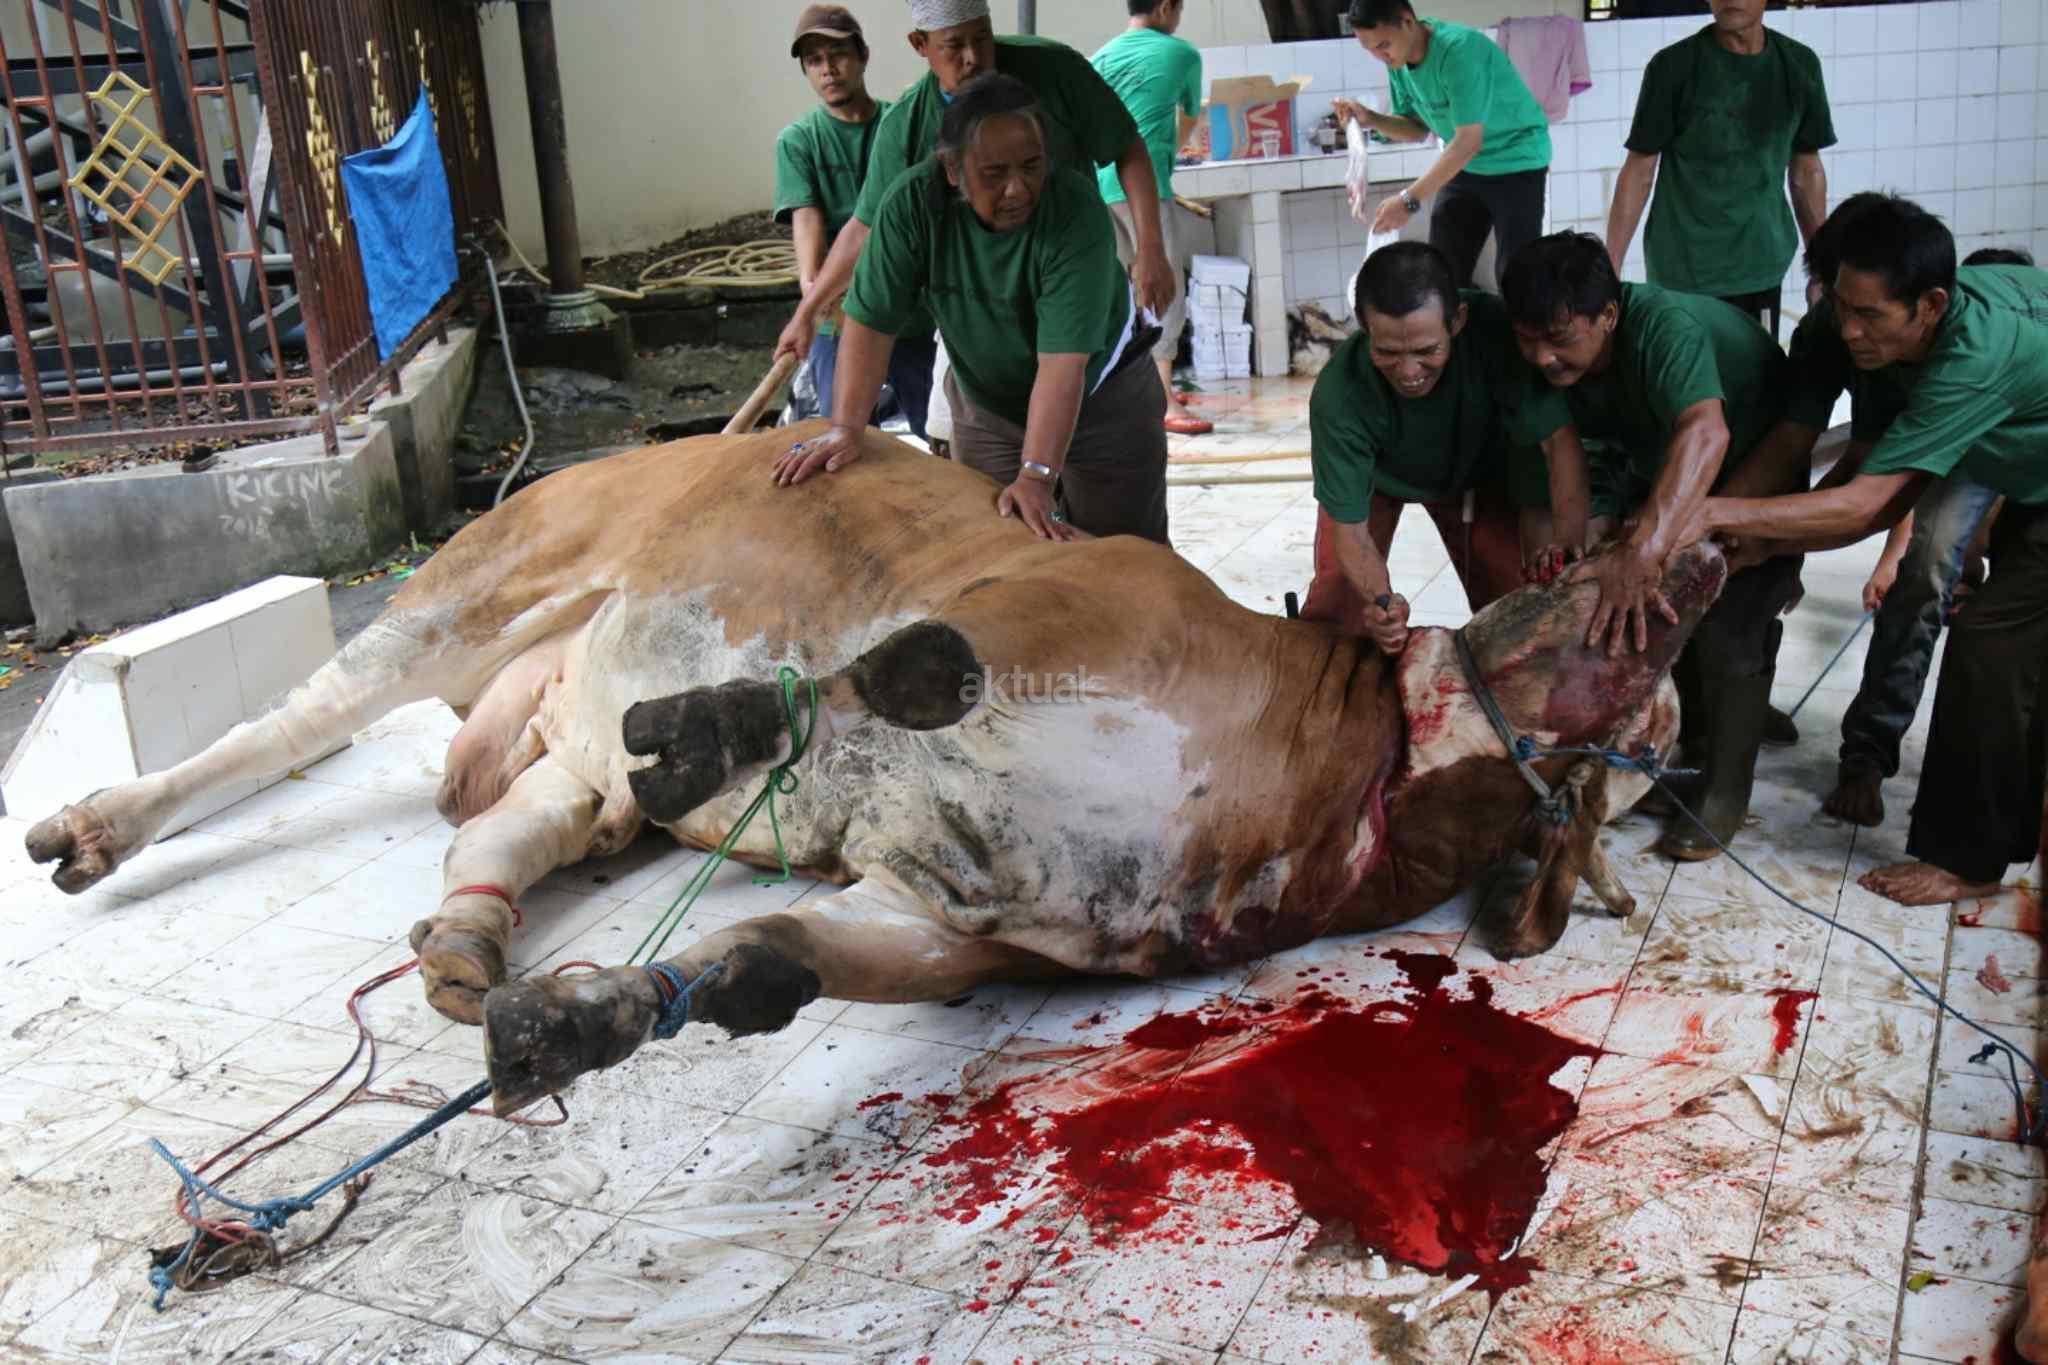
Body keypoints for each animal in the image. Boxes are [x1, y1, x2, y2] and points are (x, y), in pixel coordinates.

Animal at [26, 421, 1716, 1118]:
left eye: (1637, 766)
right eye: (1595, 589)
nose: (1695, 563)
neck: (1321, 791)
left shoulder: (952, 918)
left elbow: (770, 957)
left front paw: (589, 1020)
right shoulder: (1055, 599)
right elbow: (905, 670)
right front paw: (737, 725)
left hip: (562, 748)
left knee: (508, 828)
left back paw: (468, 947)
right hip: (489, 578)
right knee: (290, 725)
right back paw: (95, 824)